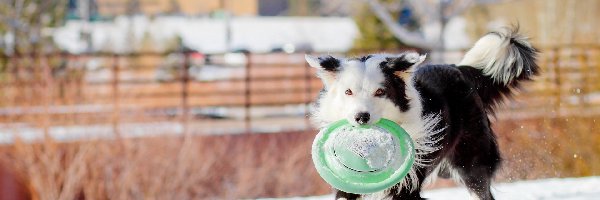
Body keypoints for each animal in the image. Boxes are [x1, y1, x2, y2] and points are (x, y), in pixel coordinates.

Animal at [308, 27, 536, 200]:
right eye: (348, 92)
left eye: (380, 92)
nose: (361, 117)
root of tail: (459, 68)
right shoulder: (348, 184)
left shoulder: (407, 184)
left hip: (472, 159)